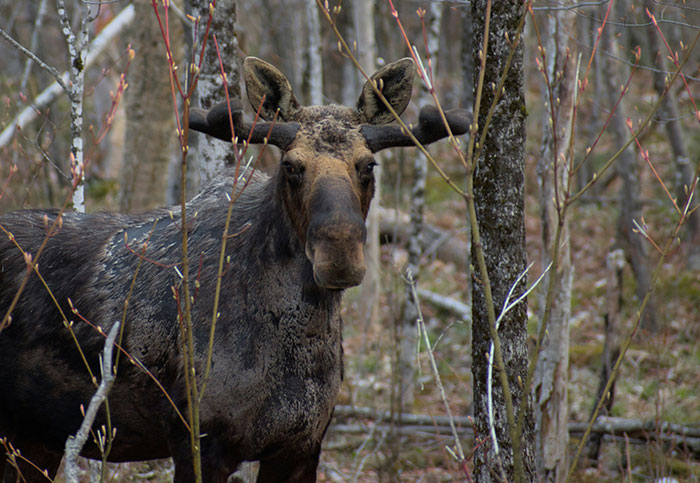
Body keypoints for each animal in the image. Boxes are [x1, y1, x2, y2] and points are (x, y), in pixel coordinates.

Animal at [0, 57, 468, 482]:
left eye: (368, 164)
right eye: (291, 166)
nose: (339, 253)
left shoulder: (302, 446)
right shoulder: (198, 442)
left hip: (36, 442)